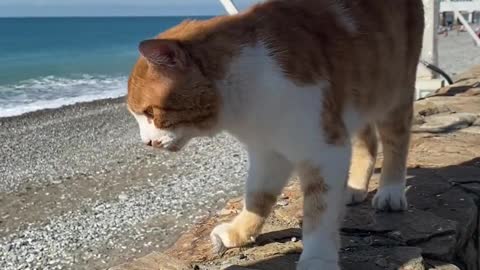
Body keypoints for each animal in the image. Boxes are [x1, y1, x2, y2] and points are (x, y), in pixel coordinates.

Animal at [126, 1, 424, 268]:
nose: (147, 142)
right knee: (368, 141)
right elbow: (257, 196)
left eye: (150, 113)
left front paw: (317, 258)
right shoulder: (267, 152)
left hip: (393, 92)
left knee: (396, 140)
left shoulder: (325, 151)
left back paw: (390, 192)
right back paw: (355, 187)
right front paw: (241, 231)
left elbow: (319, 210)